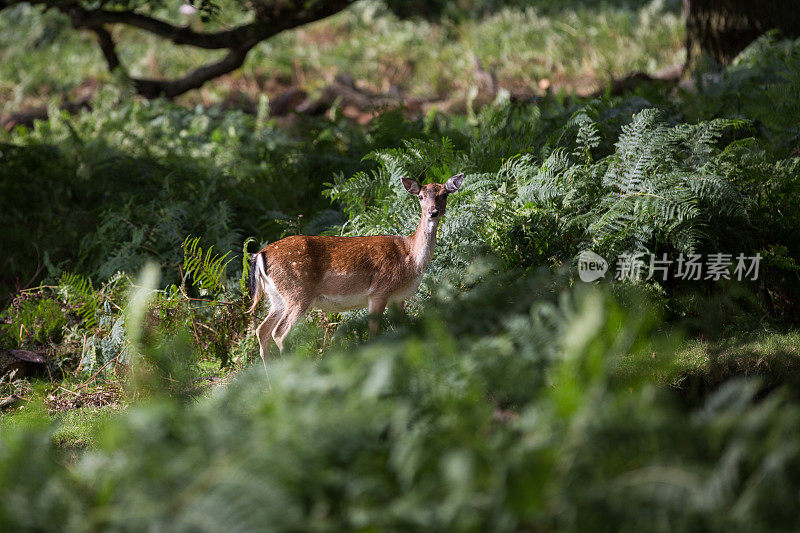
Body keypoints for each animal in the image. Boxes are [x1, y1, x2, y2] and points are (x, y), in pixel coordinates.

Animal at [248, 172, 462, 364]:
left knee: (262, 331)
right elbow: (374, 335)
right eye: (420, 196)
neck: (411, 259)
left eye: (444, 194)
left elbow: (406, 330)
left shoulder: (398, 297)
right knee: (279, 333)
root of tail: (260, 255)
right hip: (298, 292)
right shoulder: (379, 291)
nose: (433, 212)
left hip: (276, 297)